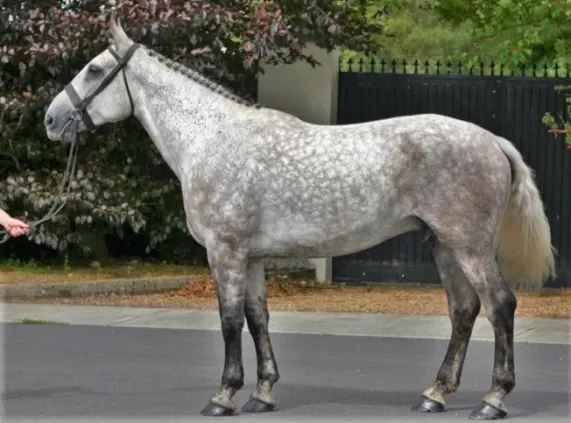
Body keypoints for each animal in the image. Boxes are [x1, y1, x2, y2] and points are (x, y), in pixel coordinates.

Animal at [45, 15, 560, 420]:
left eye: (94, 70)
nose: (51, 119)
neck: (212, 138)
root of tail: (492, 141)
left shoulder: (226, 252)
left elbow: (229, 320)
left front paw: (223, 396)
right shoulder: (252, 257)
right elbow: (257, 318)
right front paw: (262, 394)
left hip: (469, 246)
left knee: (499, 306)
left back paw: (492, 400)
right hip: (444, 245)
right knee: (463, 310)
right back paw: (434, 394)